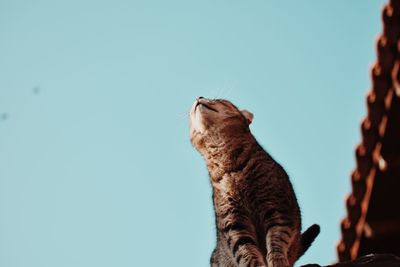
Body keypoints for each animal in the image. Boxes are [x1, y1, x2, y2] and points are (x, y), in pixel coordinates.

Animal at [190, 98, 318, 267]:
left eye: (219, 100)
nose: (199, 97)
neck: (230, 169)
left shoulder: (277, 209)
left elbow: (276, 241)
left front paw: (277, 260)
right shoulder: (235, 223)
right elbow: (245, 251)